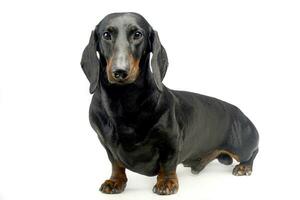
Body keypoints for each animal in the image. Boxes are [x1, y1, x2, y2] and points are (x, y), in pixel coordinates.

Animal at [81, 12, 258, 195]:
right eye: (106, 35)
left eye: (137, 34)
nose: (120, 71)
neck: (123, 100)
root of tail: (242, 113)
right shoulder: (107, 145)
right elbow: (116, 163)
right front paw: (116, 181)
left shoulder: (171, 140)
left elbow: (167, 164)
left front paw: (166, 182)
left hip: (242, 146)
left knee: (253, 153)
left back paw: (244, 167)